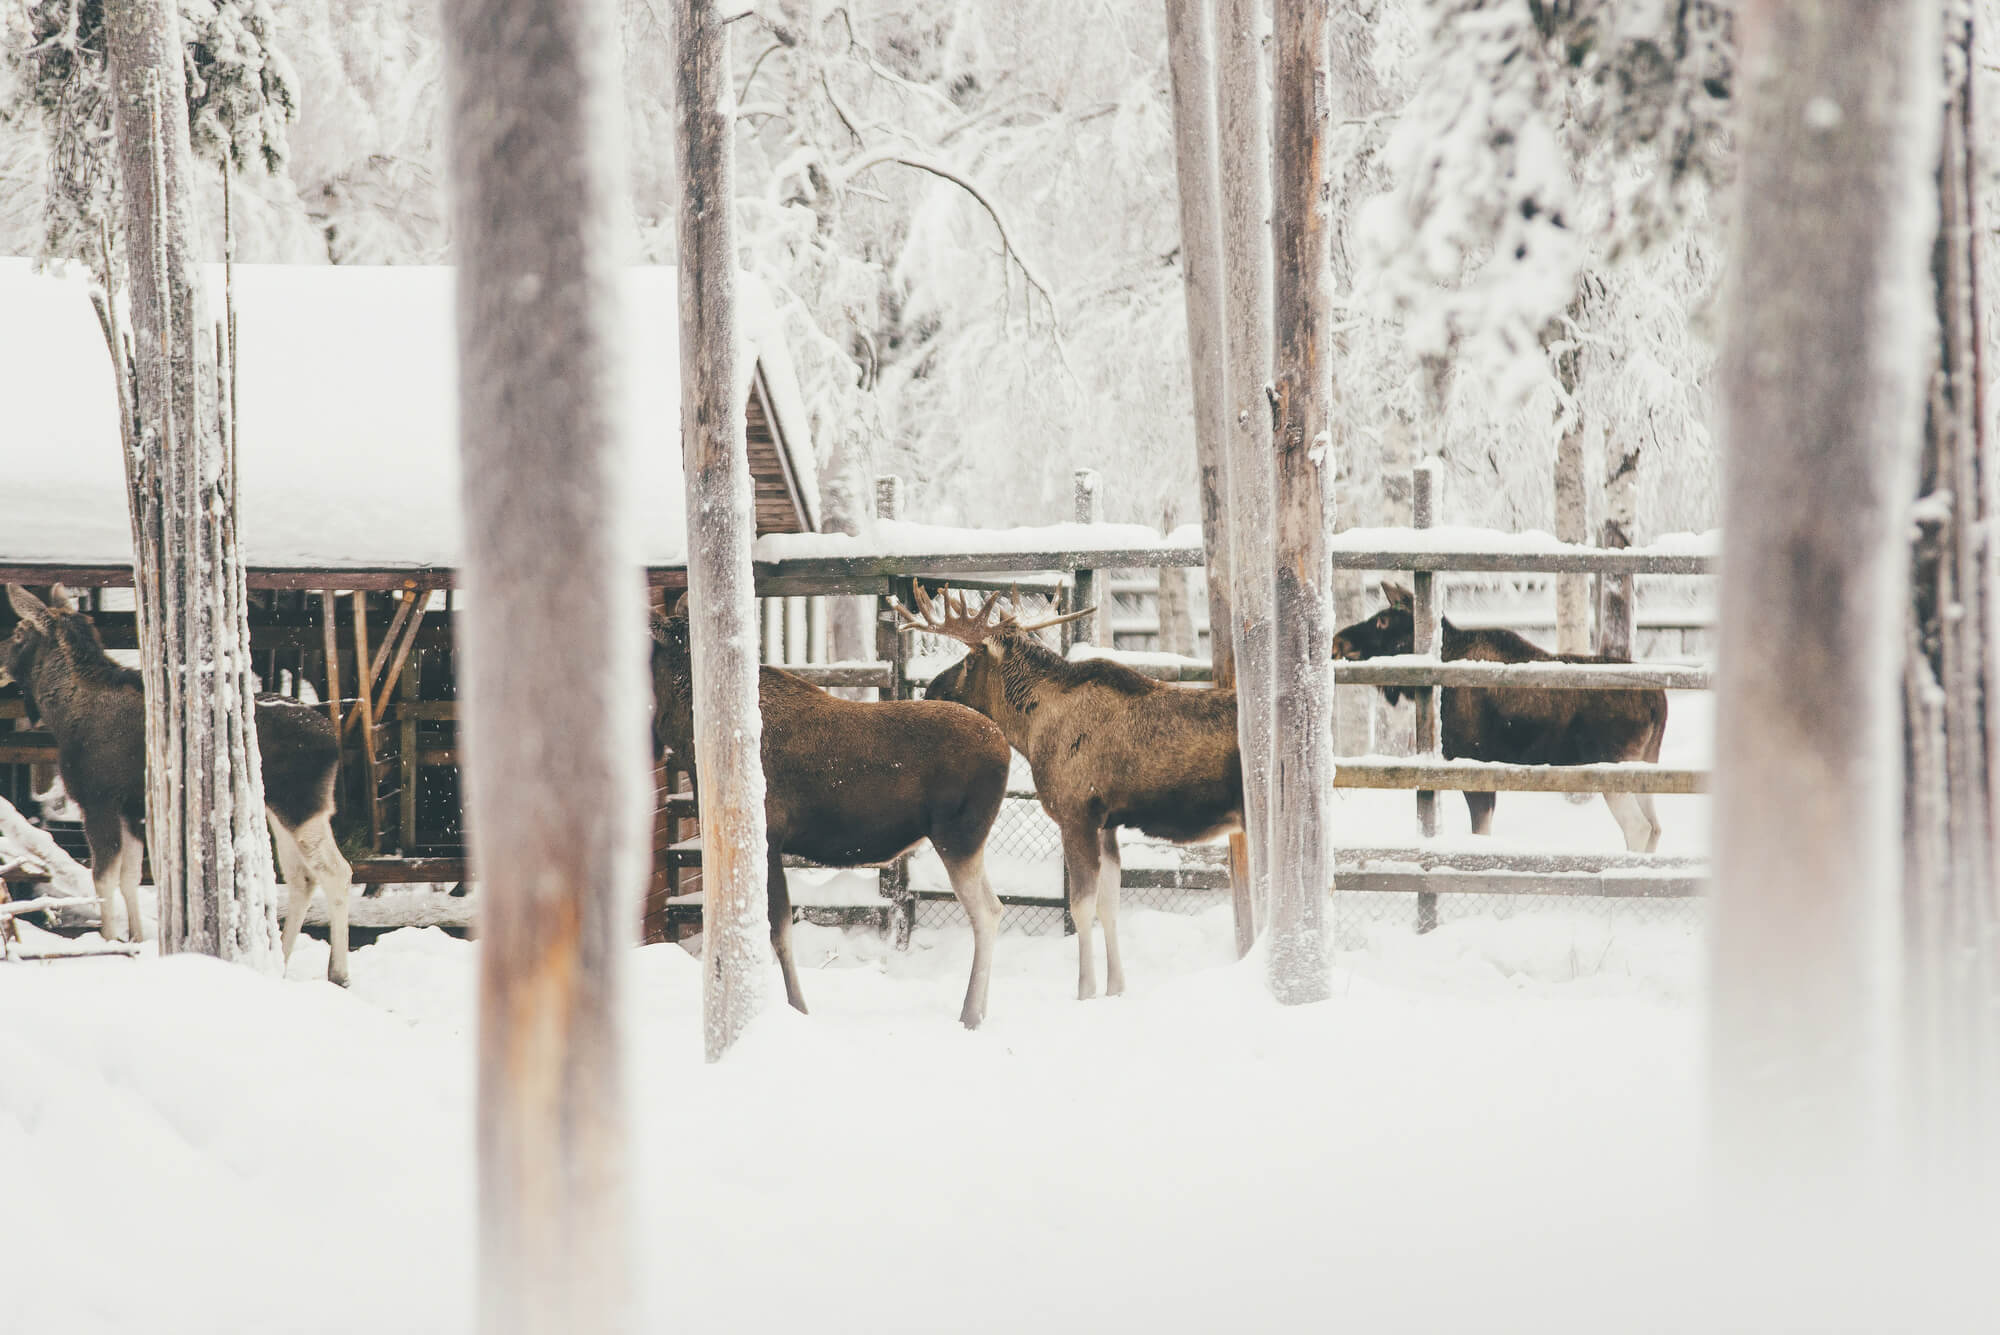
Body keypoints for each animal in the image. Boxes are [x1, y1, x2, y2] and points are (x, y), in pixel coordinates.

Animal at [1, 583, 354, 979]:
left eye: (19, 632)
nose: (0, 663)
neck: (63, 714)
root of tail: (334, 741)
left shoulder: (98, 800)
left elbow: (103, 878)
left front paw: (109, 941)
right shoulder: (132, 809)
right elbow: (129, 877)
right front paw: (136, 940)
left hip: (303, 807)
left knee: (337, 872)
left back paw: (338, 972)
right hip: (278, 809)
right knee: (301, 878)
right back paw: (281, 962)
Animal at [648, 611, 1008, 1031]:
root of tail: (1005, 746)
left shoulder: (768, 837)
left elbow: (778, 931)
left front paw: (799, 1008)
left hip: (958, 837)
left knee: (986, 912)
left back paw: (969, 1015)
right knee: (995, 907)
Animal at [904, 583, 1240, 999]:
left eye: (969, 658)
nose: (931, 690)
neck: (1030, 731)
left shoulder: (1075, 813)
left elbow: (1080, 907)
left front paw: (1085, 991)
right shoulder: (1107, 823)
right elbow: (1109, 904)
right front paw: (1115, 989)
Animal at [1328, 583, 1672, 855]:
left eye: (1383, 620)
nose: (1337, 641)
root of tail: (1659, 701)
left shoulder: (1472, 763)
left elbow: (1481, 832)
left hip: (1613, 767)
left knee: (1638, 827)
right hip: (1646, 762)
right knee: (1655, 826)